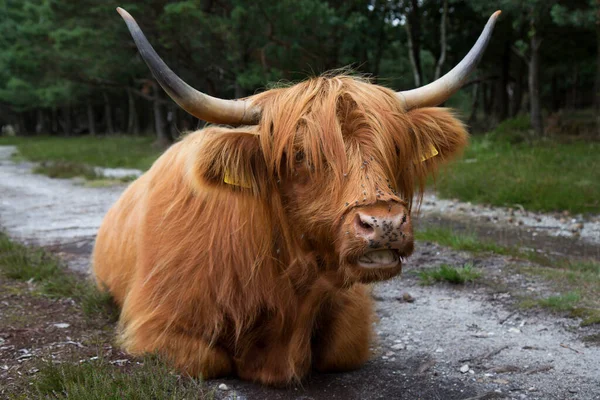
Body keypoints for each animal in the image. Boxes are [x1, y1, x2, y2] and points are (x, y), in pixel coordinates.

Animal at [91, 7, 500, 386]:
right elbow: (207, 360)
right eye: (301, 155)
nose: (384, 223)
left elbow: (339, 349)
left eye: (396, 148)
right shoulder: (154, 323)